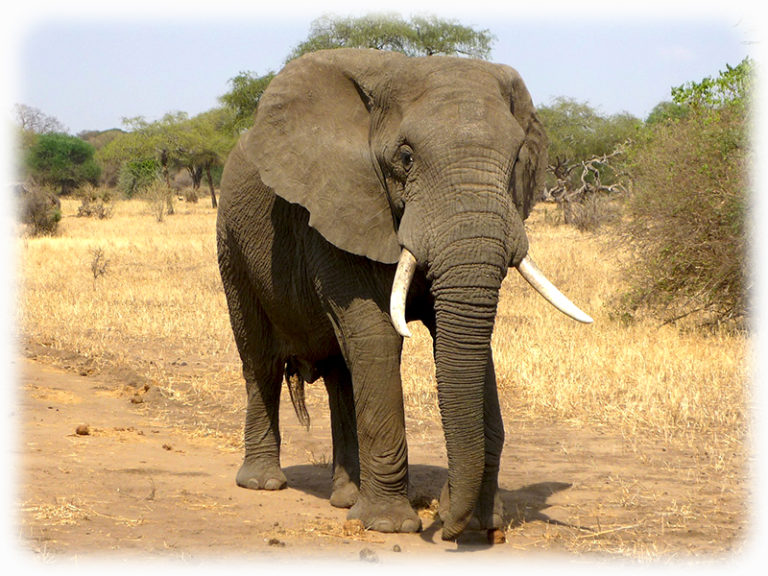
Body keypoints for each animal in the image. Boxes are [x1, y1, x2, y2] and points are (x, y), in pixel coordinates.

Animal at [216, 48, 592, 541]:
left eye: (515, 161)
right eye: (406, 157)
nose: (447, 525)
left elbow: (465, 342)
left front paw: (481, 522)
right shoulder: (340, 207)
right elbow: (378, 336)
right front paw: (389, 526)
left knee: (341, 372)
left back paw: (346, 498)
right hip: (231, 241)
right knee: (259, 358)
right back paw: (263, 483)